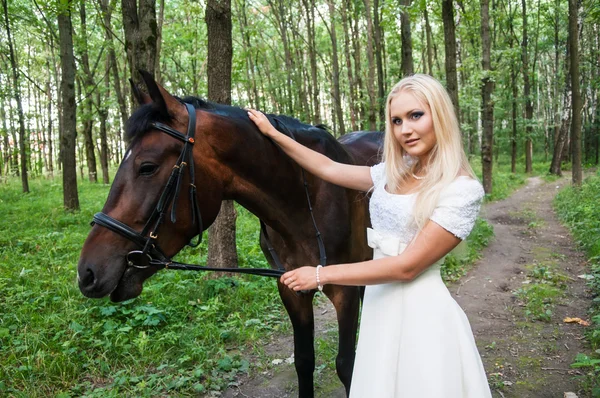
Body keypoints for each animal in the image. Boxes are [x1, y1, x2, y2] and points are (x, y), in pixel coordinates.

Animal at [77, 72, 382, 398]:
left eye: (147, 167)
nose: (87, 272)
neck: (305, 199)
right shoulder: (290, 288)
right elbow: (304, 360)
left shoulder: (344, 289)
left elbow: (346, 365)